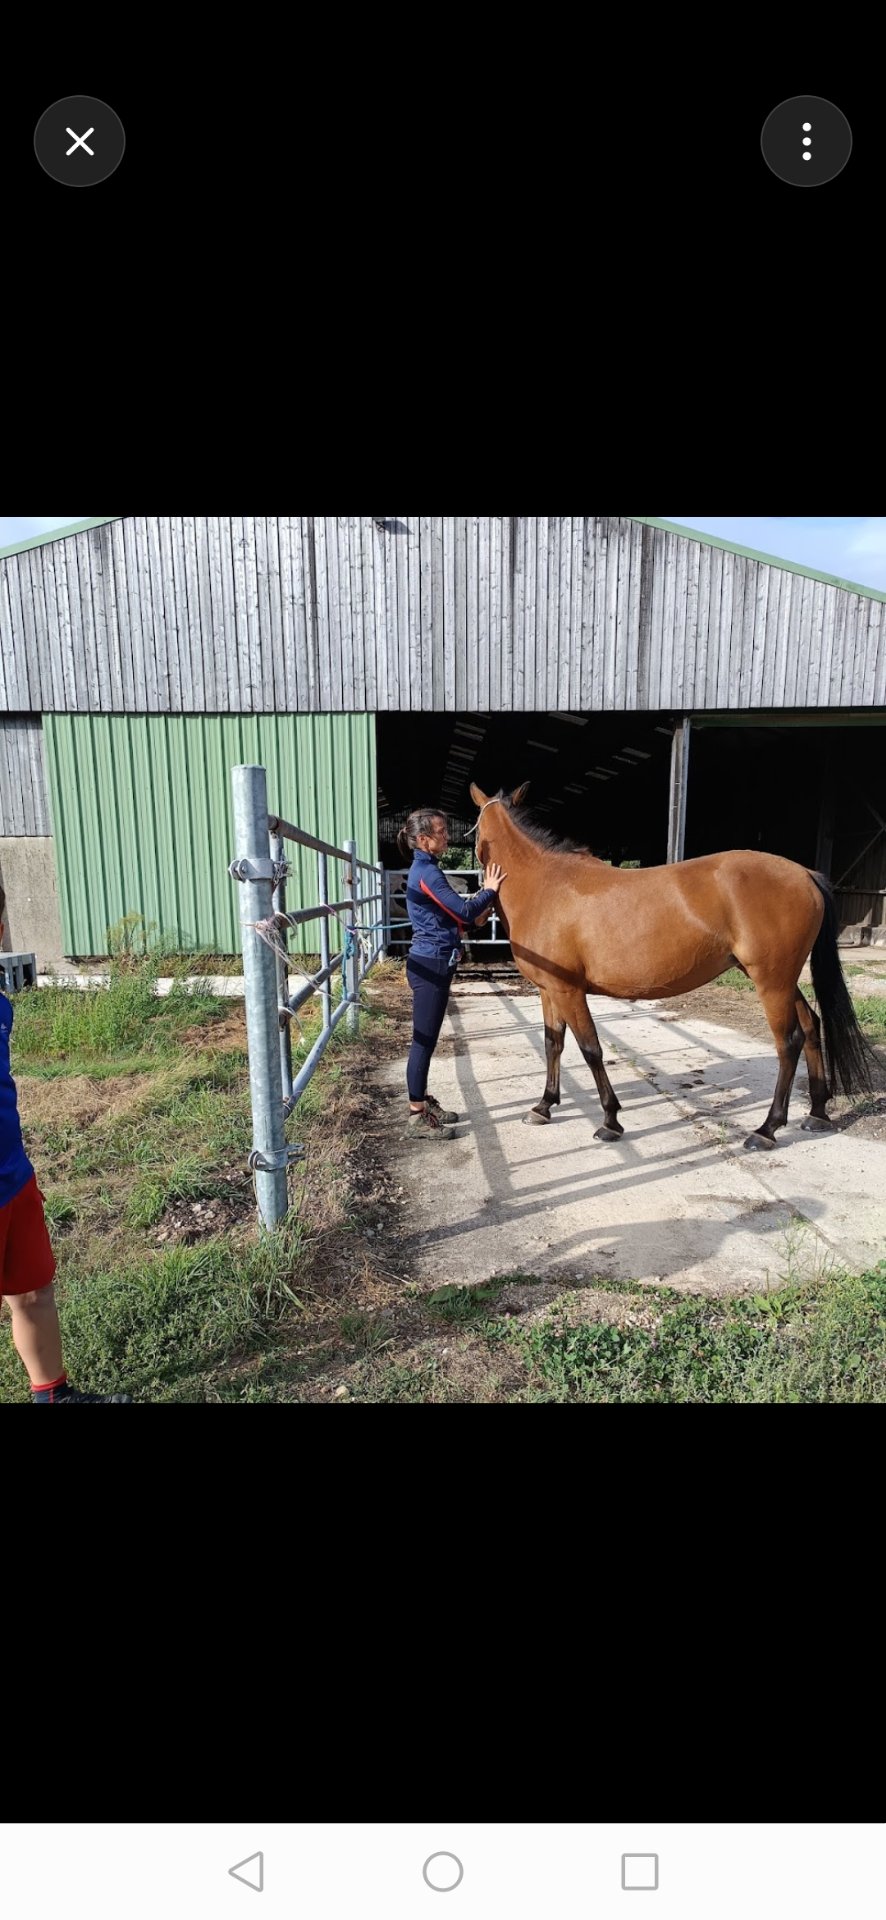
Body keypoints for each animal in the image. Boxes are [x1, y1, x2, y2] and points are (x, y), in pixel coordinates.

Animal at [469, 780, 874, 1151]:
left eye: (475, 837)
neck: (545, 885)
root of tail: (806, 874)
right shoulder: (548, 989)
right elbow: (553, 1043)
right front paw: (544, 1106)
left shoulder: (569, 991)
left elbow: (590, 1049)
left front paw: (610, 1121)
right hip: (779, 980)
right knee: (810, 1025)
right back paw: (817, 1112)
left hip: (771, 981)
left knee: (788, 1042)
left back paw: (767, 1129)